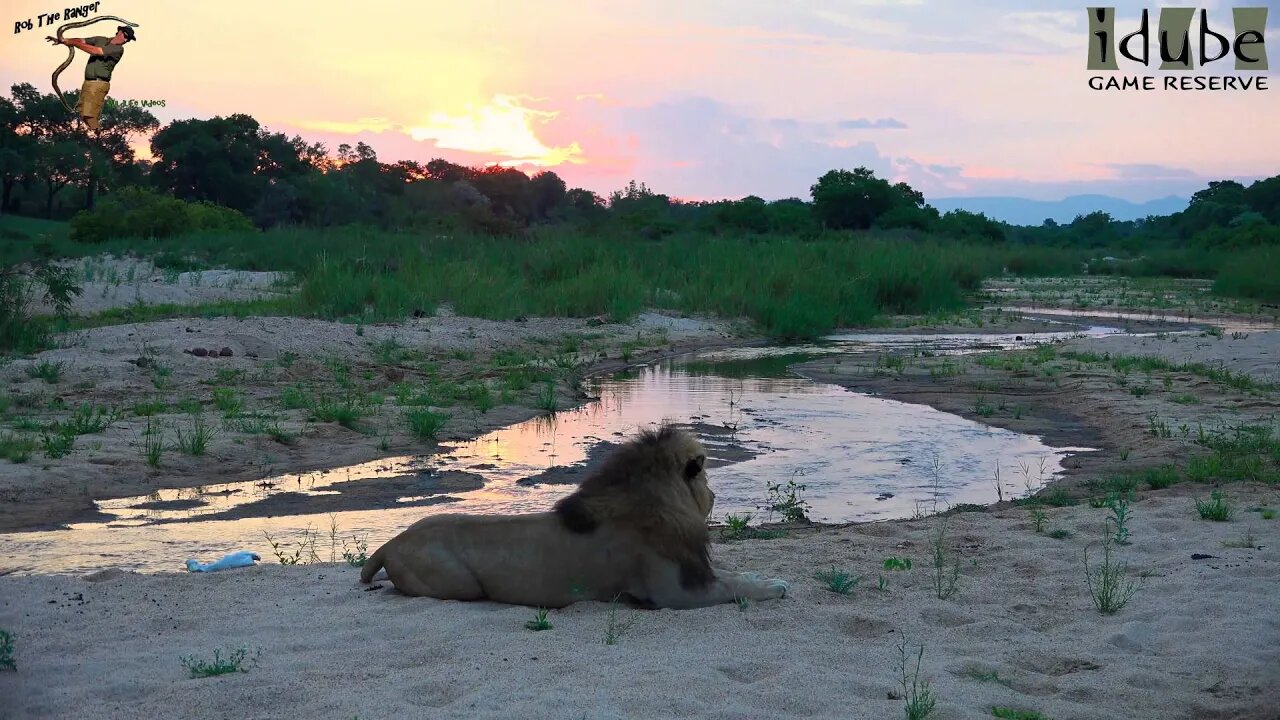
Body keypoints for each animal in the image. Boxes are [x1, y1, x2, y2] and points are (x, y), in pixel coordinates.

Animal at [360, 422, 788, 607]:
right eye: (706, 478)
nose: (714, 494)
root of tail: (391, 541)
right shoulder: (671, 592)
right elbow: (733, 588)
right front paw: (772, 587)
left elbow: (733, 576)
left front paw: (761, 577)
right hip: (460, 585)